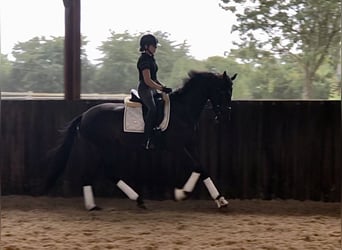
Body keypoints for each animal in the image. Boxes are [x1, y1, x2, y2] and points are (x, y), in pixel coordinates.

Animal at [45, 70, 236, 209]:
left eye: (231, 92)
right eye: (221, 91)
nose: (225, 116)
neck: (183, 110)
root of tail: (84, 115)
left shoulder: (189, 145)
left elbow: (202, 169)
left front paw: (220, 200)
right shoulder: (177, 147)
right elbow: (197, 167)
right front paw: (181, 193)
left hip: (105, 148)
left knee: (105, 173)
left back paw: (128, 201)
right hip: (99, 147)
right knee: (98, 172)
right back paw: (102, 204)